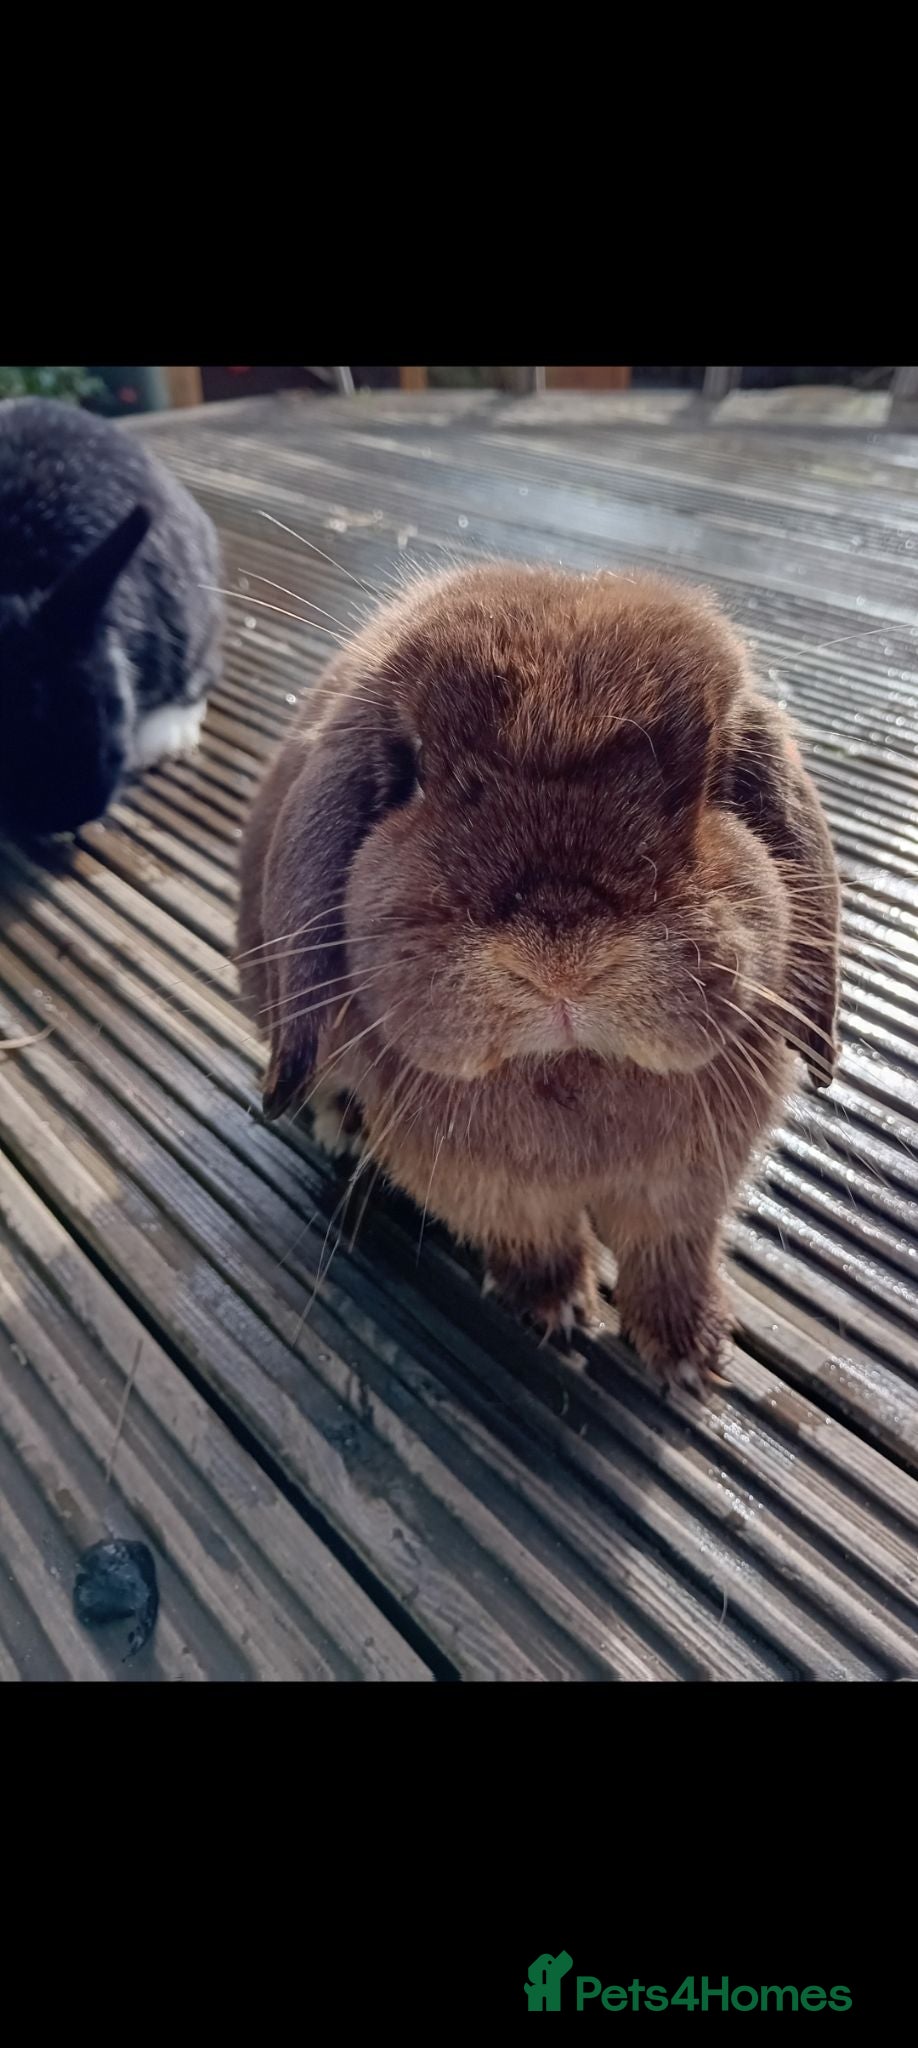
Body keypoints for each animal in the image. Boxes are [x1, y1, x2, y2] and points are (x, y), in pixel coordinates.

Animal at [237, 562, 840, 1391]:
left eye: (717, 778)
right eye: (411, 771)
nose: (562, 954)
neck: (571, 1074)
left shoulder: (686, 1191)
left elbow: (671, 1256)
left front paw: (691, 1352)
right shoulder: (490, 1191)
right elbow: (538, 1241)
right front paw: (553, 1307)